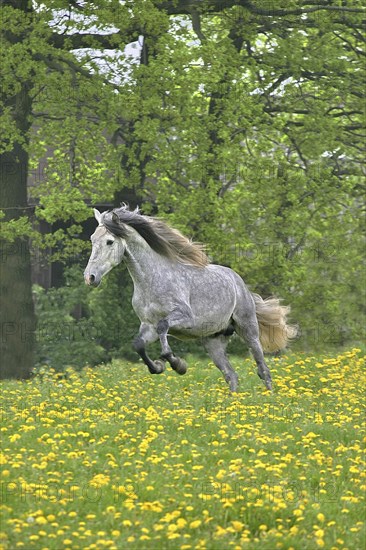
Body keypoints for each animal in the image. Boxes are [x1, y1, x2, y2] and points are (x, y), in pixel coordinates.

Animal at [84, 206, 296, 392]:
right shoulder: (148, 325)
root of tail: (241, 285)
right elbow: (139, 345)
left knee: (263, 369)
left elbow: (164, 330)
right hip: (213, 341)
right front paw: (159, 366)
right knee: (231, 375)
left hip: (248, 330)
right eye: (92, 239)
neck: (152, 280)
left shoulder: (184, 318)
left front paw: (178, 364)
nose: (90, 277)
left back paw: (268, 397)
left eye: (110, 241)